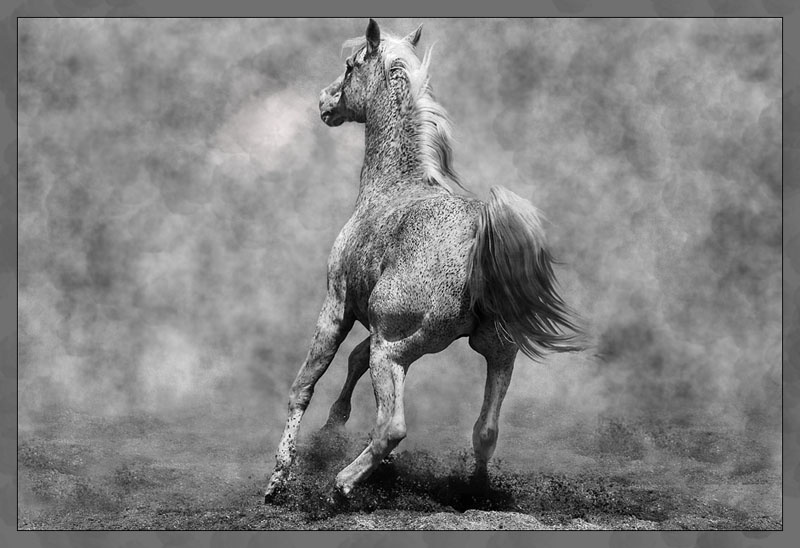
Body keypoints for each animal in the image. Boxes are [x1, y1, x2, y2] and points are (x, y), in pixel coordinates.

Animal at [264, 19, 581, 501]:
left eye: (350, 64)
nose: (324, 99)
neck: (393, 186)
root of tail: (477, 244)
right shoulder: (373, 324)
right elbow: (353, 362)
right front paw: (331, 431)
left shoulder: (337, 307)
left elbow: (305, 383)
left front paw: (279, 477)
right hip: (497, 353)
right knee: (485, 430)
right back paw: (473, 491)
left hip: (396, 351)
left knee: (392, 427)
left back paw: (342, 484)